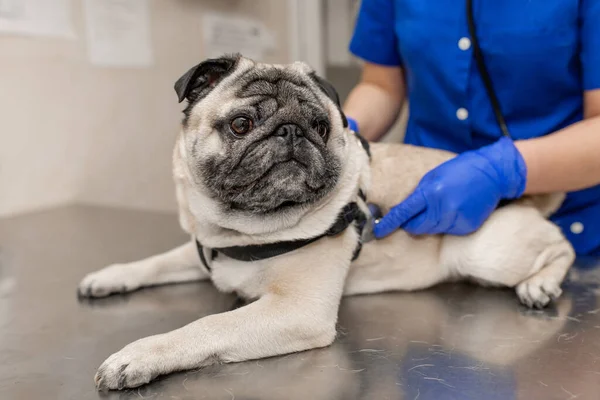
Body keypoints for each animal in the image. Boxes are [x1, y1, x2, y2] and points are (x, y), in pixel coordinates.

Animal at [77, 54, 576, 390]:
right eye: (241, 124)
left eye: (320, 126)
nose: (291, 131)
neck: (243, 229)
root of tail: (519, 194)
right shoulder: (203, 250)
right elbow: (155, 262)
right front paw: (110, 277)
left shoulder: (297, 310)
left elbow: (206, 327)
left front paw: (142, 355)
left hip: (481, 250)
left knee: (562, 247)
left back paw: (540, 284)